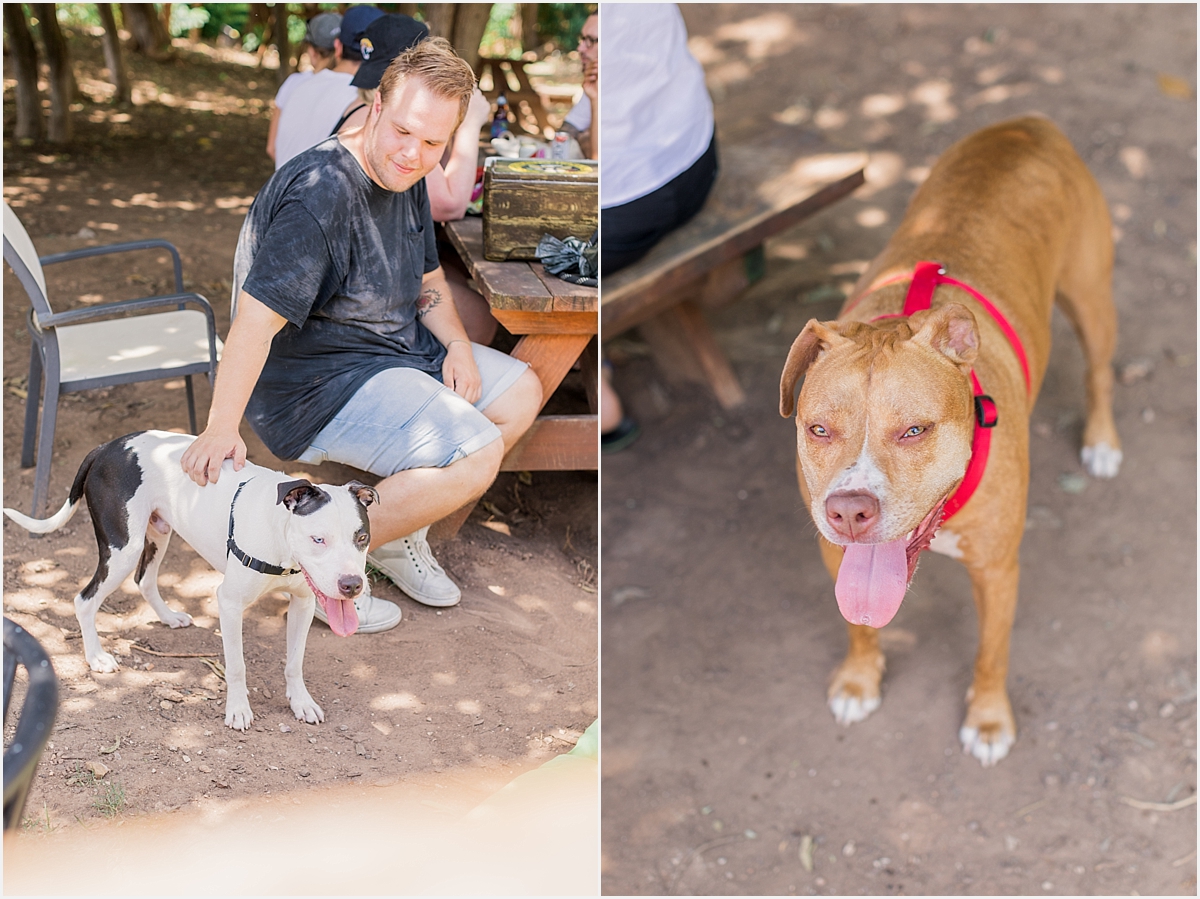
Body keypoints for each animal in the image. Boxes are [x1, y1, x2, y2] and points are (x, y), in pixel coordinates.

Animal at [3, 429, 379, 729]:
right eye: (318, 539)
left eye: (362, 538)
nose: (351, 585)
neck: (280, 536)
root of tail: (109, 445)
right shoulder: (229, 605)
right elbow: (237, 665)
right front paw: (238, 710)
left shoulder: (303, 602)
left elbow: (295, 662)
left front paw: (301, 702)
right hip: (122, 549)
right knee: (84, 599)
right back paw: (96, 657)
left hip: (158, 533)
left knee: (144, 580)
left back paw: (168, 617)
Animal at [782, 117, 1118, 763]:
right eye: (819, 429)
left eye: (915, 430)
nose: (849, 511)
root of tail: (1026, 125)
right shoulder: (833, 552)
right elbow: (857, 621)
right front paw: (859, 681)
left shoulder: (997, 568)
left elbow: (991, 653)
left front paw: (987, 721)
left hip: (1092, 300)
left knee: (1098, 371)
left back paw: (1102, 441)